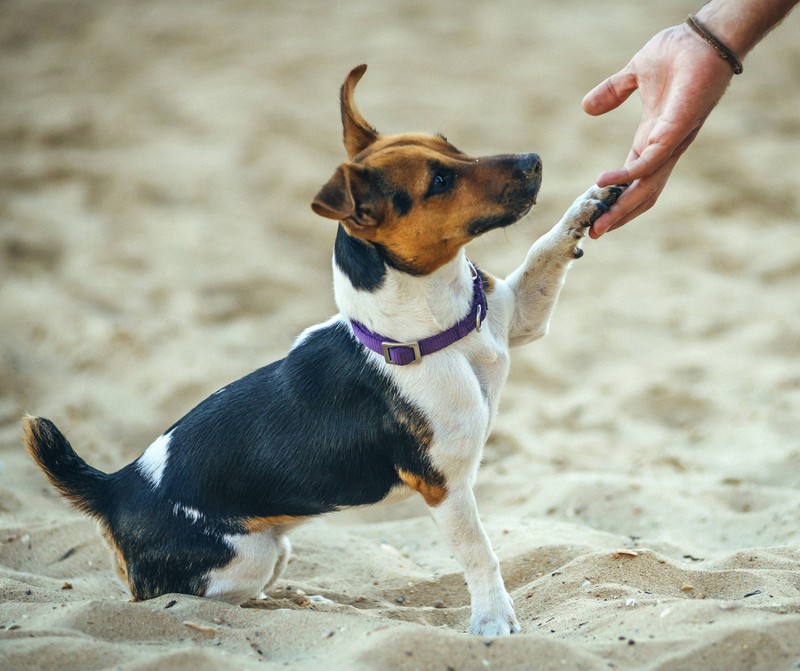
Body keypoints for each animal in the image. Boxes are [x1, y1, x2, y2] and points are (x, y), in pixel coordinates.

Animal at [21, 65, 620, 636]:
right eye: (440, 180)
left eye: (451, 145)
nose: (533, 160)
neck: (436, 327)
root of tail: (116, 486)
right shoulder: (445, 487)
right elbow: (481, 555)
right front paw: (494, 621)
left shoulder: (517, 320)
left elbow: (544, 251)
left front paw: (588, 205)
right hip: (246, 557)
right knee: (194, 599)